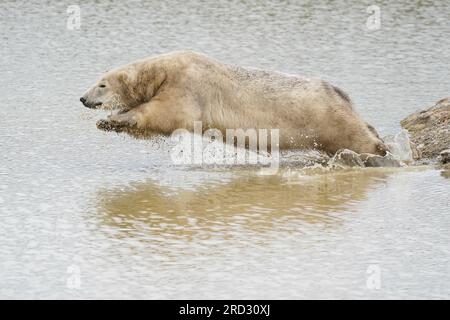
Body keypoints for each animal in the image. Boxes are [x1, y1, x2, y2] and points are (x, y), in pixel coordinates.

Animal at [80, 50, 386, 155]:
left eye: (101, 84)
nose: (83, 98)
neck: (162, 69)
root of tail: (340, 93)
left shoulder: (187, 84)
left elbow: (168, 114)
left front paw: (114, 118)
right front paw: (108, 122)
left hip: (328, 117)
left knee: (357, 135)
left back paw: (378, 150)